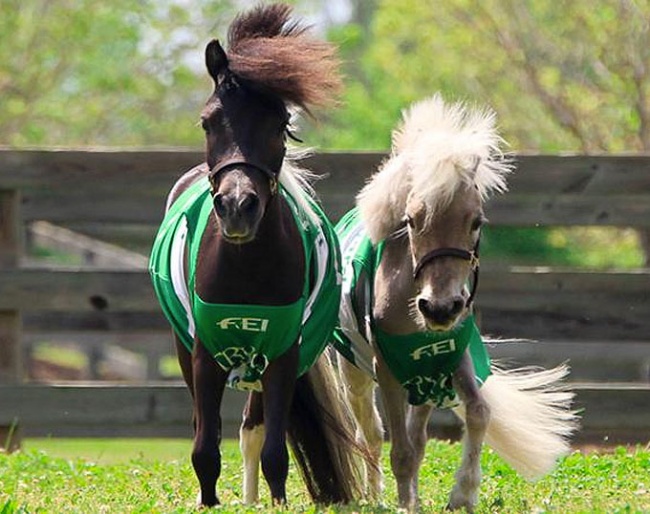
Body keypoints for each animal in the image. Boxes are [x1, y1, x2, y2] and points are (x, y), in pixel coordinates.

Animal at [150, 4, 368, 506]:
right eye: (207, 121)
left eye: (279, 124)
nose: (237, 206)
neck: (245, 269)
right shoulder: (203, 355)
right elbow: (204, 447)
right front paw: (208, 502)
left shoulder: (283, 355)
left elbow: (272, 450)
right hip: (186, 350)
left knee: (253, 430)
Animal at [334, 94, 576, 510]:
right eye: (411, 221)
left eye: (476, 221)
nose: (441, 307)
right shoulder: (388, 367)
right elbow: (400, 449)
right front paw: (406, 504)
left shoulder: (446, 358)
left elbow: (477, 412)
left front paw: (462, 493)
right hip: (356, 372)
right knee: (370, 431)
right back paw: (373, 493)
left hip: (423, 382)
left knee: (413, 435)